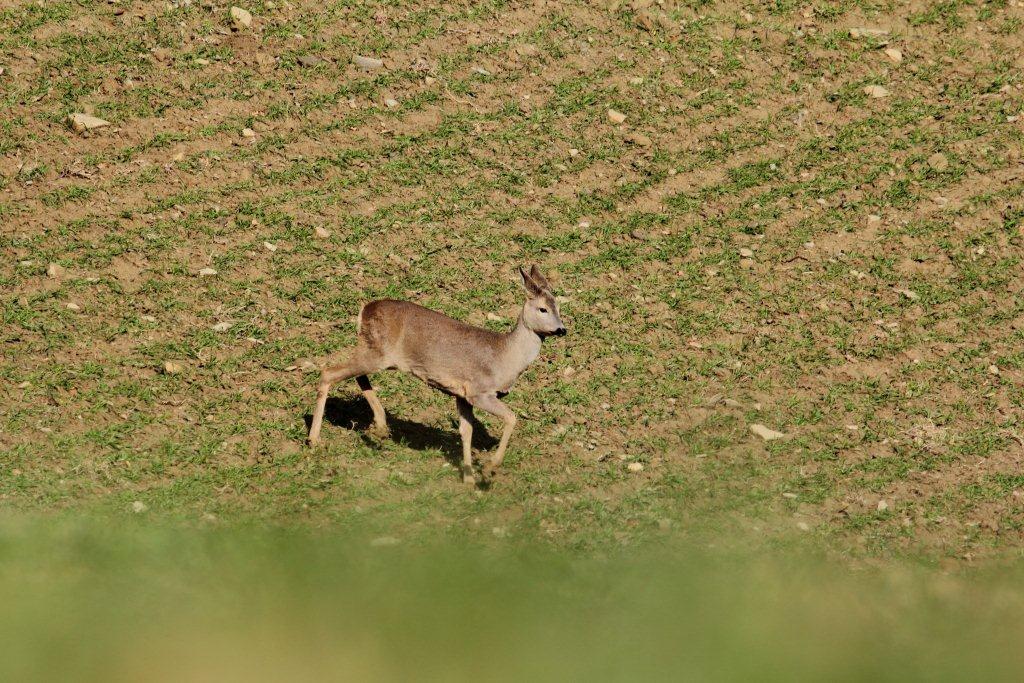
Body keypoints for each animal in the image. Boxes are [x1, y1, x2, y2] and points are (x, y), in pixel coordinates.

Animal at [303, 264, 569, 485]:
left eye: (559, 307)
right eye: (543, 309)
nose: (561, 329)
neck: (506, 357)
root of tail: (364, 310)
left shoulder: (461, 395)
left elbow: (466, 431)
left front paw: (469, 480)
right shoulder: (479, 391)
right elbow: (511, 418)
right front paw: (490, 468)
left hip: (376, 353)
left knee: (355, 376)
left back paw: (380, 426)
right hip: (377, 353)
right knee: (328, 372)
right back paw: (314, 440)